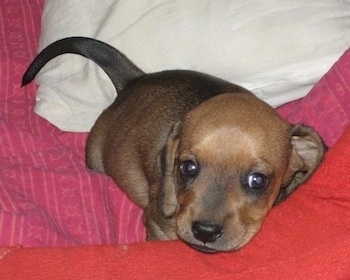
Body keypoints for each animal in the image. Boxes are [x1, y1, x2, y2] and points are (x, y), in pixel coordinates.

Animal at [23, 36, 326, 253]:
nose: (205, 231)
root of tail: (136, 79)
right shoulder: (159, 227)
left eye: (257, 180)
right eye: (188, 167)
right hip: (96, 157)